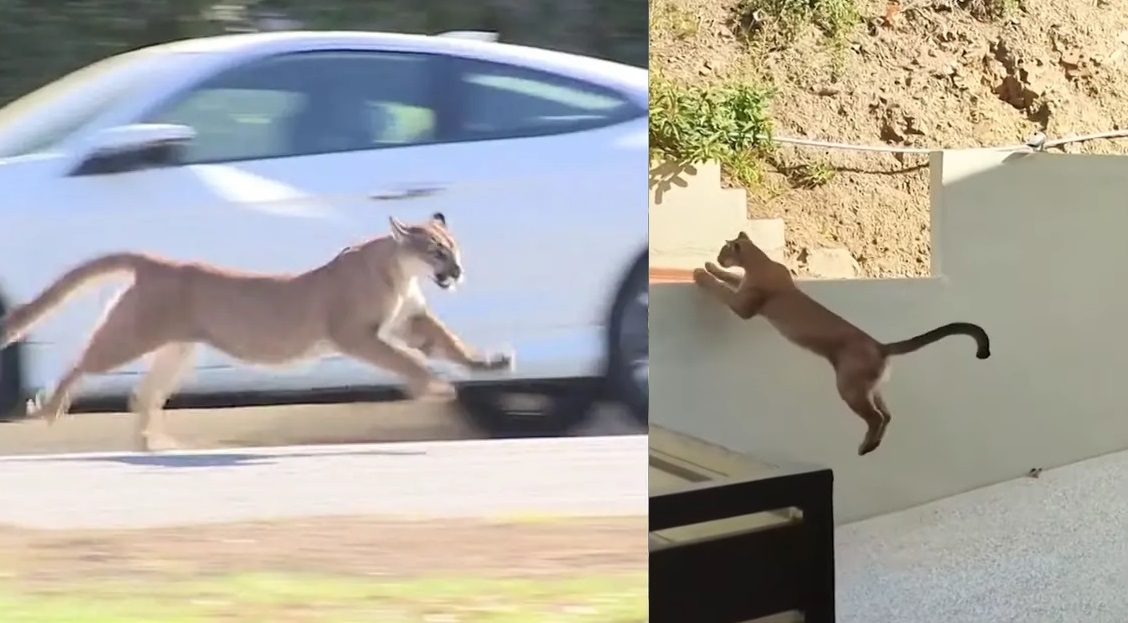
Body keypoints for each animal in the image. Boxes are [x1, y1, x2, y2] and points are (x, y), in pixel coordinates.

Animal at [1, 212, 516, 449]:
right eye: (435, 251)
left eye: (454, 247)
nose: (457, 271)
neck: (398, 270)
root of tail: (158, 261)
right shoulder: (356, 333)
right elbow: (406, 359)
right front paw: (434, 387)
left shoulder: (411, 321)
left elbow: (451, 343)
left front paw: (489, 362)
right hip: (131, 335)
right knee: (80, 363)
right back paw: (47, 409)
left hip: (177, 350)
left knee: (141, 394)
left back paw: (157, 444)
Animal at [690, 231, 992, 455]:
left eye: (724, 250)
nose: (716, 256)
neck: (761, 263)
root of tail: (881, 345)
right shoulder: (743, 290)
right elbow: (730, 278)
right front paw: (709, 267)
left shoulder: (743, 307)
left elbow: (722, 288)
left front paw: (700, 272)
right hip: (871, 389)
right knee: (888, 415)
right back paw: (872, 446)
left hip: (848, 388)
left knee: (876, 417)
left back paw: (865, 447)